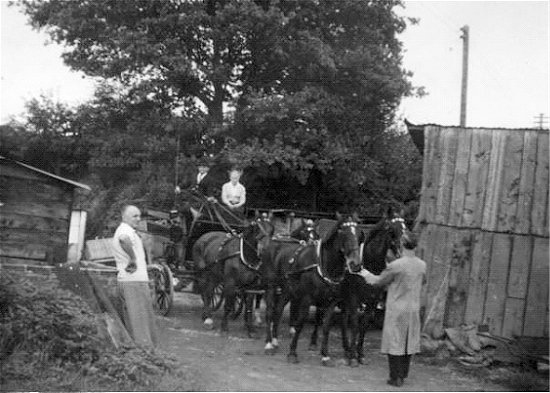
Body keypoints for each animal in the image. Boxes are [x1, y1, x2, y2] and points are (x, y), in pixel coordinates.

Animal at [260, 213, 364, 362]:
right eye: (343, 233)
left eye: (359, 234)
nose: (355, 264)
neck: (322, 265)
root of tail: (273, 243)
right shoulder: (306, 299)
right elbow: (300, 323)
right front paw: (292, 353)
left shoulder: (331, 302)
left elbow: (325, 326)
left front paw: (325, 355)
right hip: (271, 286)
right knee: (270, 312)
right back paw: (268, 344)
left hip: (287, 290)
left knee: (278, 311)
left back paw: (274, 341)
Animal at [340, 214, 406, 364]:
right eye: (391, 229)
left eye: (405, 227)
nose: (400, 252)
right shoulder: (354, 298)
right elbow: (355, 323)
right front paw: (353, 356)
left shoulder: (373, 300)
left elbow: (364, 324)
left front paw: (360, 354)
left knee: (344, 318)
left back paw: (346, 348)